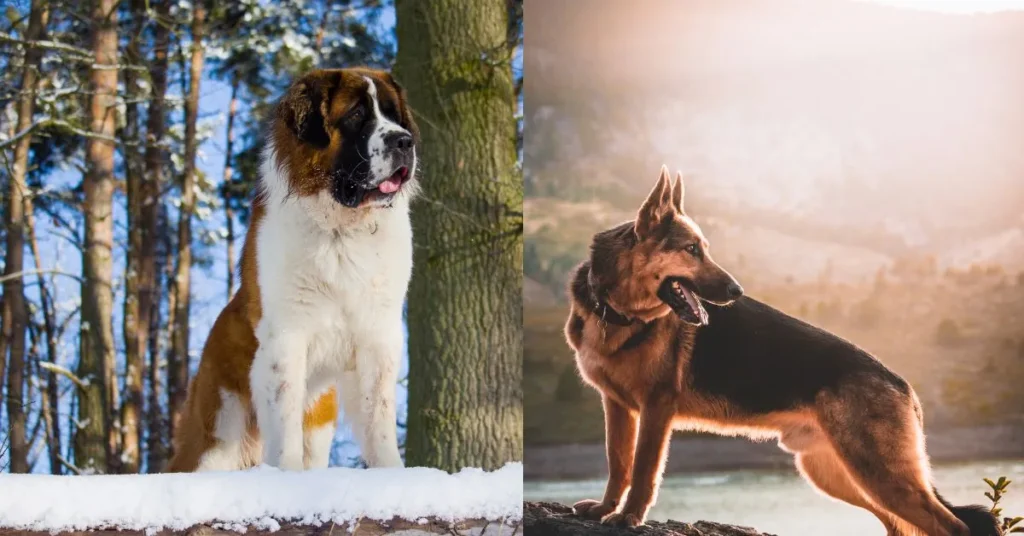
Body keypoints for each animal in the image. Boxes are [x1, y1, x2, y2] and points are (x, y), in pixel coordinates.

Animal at [169, 68, 417, 473]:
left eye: (394, 115)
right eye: (356, 115)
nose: (404, 141)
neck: (341, 230)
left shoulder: (378, 335)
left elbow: (378, 416)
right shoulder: (286, 336)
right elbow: (284, 421)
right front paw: (286, 475)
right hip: (218, 431)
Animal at [565, 169, 995, 536]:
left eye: (703, 249)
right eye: (691, 250)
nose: (737, 291)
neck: (616, 313)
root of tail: (903, 384)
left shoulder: (657, 409)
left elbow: (642, 471)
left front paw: (629, 517)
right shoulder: (617, 407)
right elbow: (618, 463)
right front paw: (605, 509)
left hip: (879, 475)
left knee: (954, 526)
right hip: (837, 474)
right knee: (900, 524)